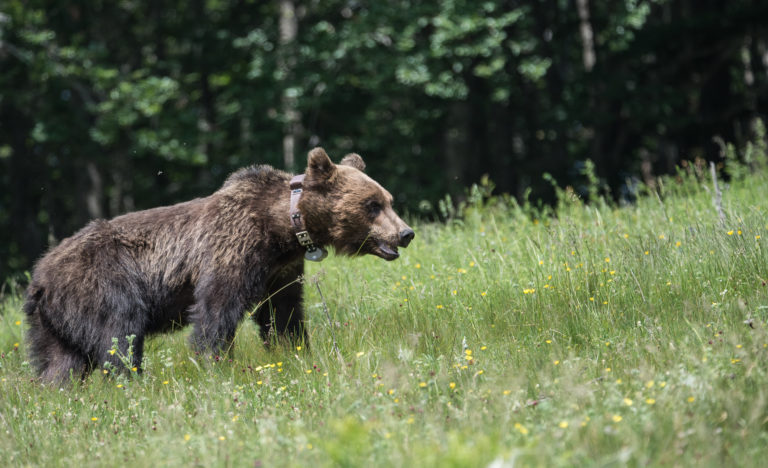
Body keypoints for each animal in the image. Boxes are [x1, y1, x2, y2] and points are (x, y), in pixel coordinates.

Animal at [24, 148, 414, 382]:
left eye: (388, 200)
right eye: (372, 205)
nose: (405, 233)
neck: (284, 229)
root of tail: (39, 277)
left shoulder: (280, 271)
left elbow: (282, 313)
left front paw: (295, 351)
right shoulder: (234, 248)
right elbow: (217, 309)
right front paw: (215, 364)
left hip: (55, 322)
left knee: (60, 363)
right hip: (100, 284)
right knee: (119, 334)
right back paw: (132, 379)